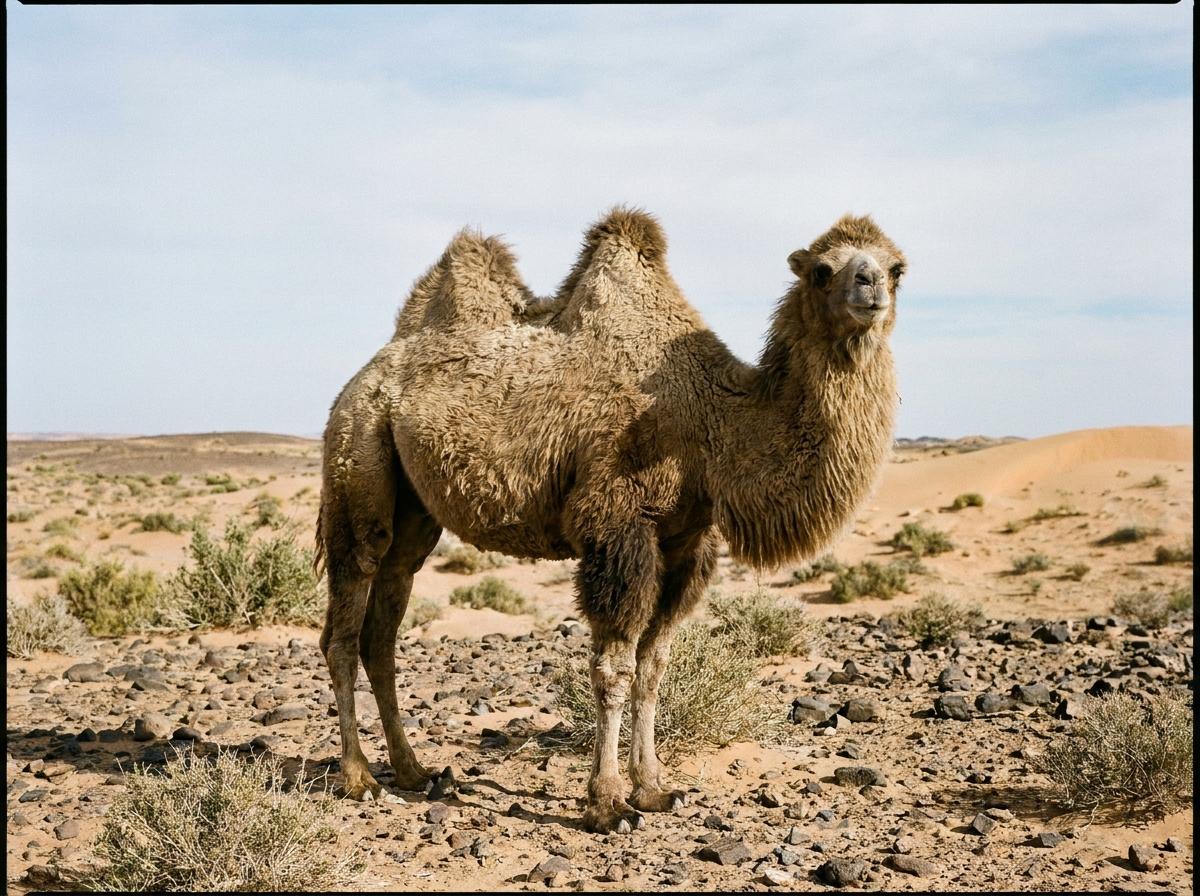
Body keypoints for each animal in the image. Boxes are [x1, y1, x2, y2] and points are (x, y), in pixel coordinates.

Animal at [316, 208, 906, 833]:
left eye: (897, 267)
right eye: (822, 270)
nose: (870, 285)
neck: (711, 421)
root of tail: (365, 375)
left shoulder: (686, 543)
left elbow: (654, 667)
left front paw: (654, 788)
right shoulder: (616, 524)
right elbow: (613, 667)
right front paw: (608, 802)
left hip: (415, 509)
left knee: (384, 625)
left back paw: (412, 770)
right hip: (358, 452)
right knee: (346, 619)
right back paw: (358, 778)